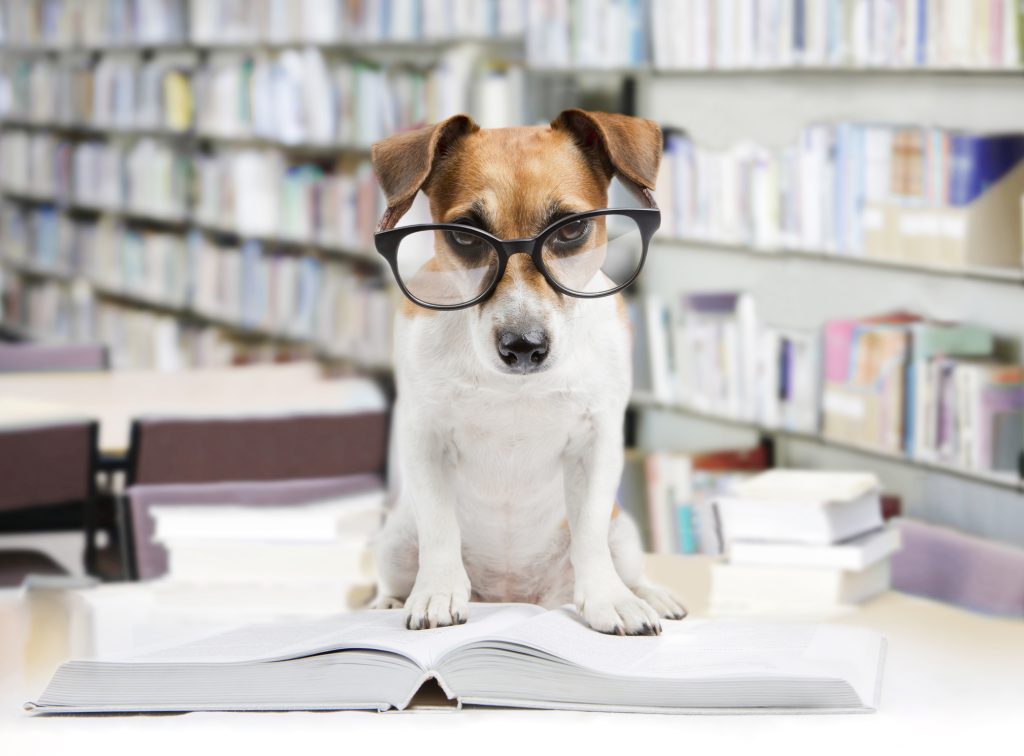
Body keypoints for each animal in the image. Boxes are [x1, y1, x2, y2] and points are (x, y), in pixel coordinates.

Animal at [370, 109, 688, 635]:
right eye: (465, 234)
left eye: (572, 230)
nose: (523, 346)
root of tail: (512, 595)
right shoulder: (423, 437)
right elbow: (439, 528)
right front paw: (436, 593)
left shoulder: (597, 442)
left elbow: (590, 532)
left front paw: (610, 600)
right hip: (395, 540)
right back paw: (389, 600)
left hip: (623, 531)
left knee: (623, 561)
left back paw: (650, 595)